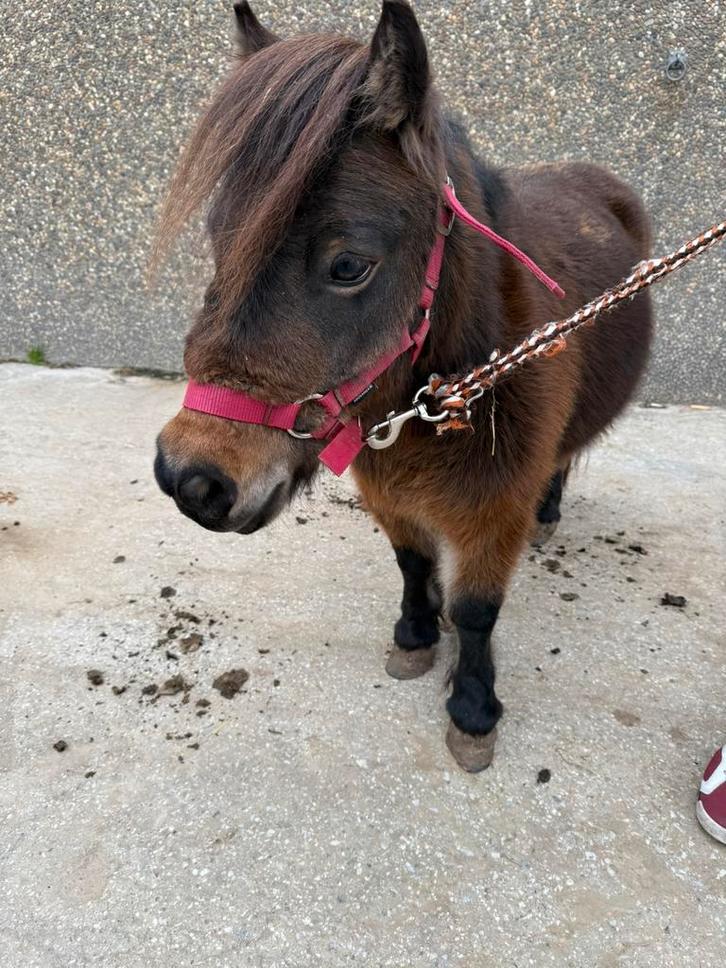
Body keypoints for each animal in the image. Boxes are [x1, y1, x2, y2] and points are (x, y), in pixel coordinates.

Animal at [153, 1, 653, 772]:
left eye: (350, 265)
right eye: (219, 242)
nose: (190, 479)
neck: (442, 403)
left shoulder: (494, 510)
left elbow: (477, 613)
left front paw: (473, 709)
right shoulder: (389, 492)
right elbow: (413, 563)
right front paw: (417, 636)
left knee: (565, 459)